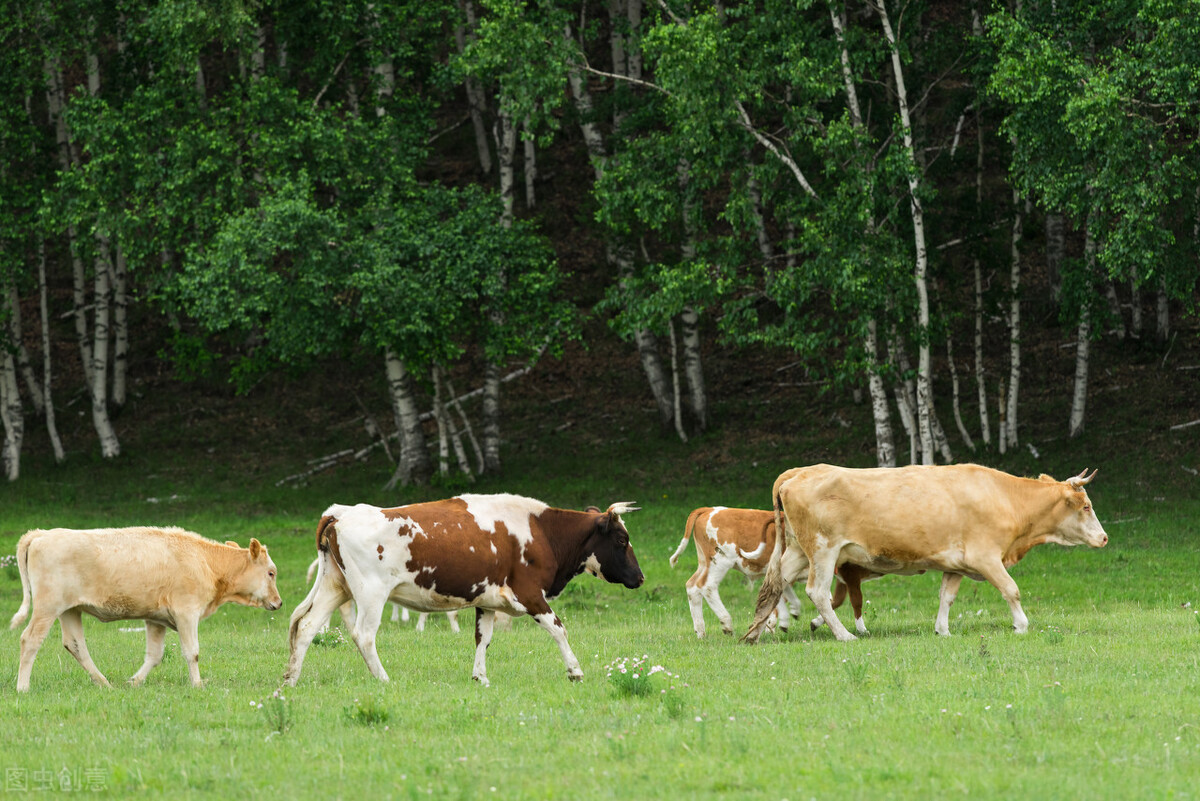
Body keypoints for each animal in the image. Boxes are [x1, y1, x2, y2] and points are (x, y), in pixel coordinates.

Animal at [9, 525, 280, 690]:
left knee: (75, 644)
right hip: (47, 608)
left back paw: (104, 683)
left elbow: (155, 655)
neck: (204, 561)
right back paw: (23, 687)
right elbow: (192, 652)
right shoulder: (186, 613)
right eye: (271, 572)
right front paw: (197, 684)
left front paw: (134, 681)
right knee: (30, 639)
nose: (279, 602)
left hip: (69, 610)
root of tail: (41, 534)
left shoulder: (156, 619)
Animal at [282, 494, 643, 690]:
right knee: (364, 635)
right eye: (622, 539)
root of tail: (343, 511)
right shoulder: (530, 594)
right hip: (371, 593)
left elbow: (483, 638)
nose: (639, 578)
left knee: (307, 626)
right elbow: (559, 629)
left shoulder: (487, 599)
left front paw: (480, 677)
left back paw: (290, 679)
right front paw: (575, 671)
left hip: (335, 586)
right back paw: (383, 678)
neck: (541, 531)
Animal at [672, 510, 878, 633]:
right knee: (707, 587)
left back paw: (700, 631)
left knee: (692, 587)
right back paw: (726, 622)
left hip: (704, 562)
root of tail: (708, 509)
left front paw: (775, 621)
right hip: (720, 561)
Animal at [744, 462, 1108, 642]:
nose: (1104, 538)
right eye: (1086, 506)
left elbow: (947, 596)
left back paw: (757, 631)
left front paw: (943, 630)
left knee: (775, 582)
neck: (1004, 497)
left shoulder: (956, 564)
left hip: (797, 550)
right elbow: (1011, 589)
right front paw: (1021, 625)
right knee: (817, 592)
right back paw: (844, 635)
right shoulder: (985, 557)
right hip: (823, 550)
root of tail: (800, 472)